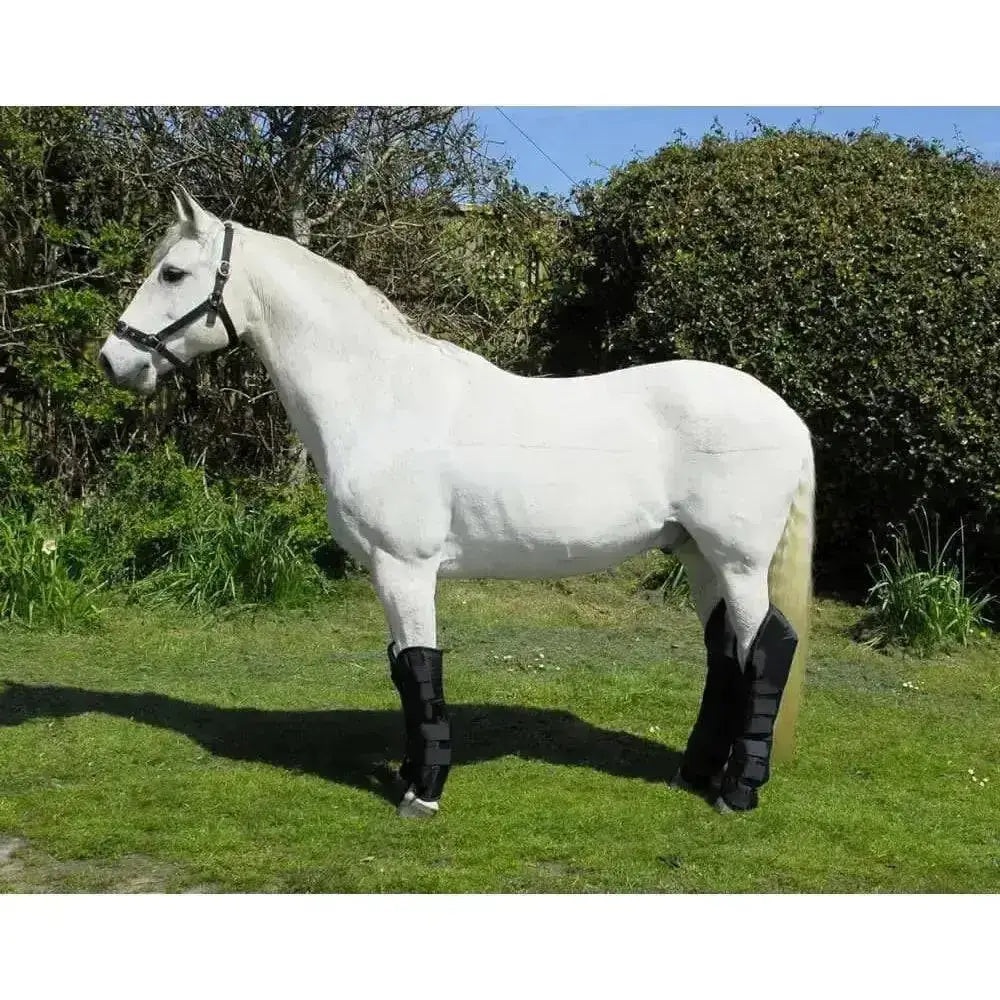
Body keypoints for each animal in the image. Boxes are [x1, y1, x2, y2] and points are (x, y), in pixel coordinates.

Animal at [98, 188, 814, 819]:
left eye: (172, 271)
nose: (113, 361)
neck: (380, 397)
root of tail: (785, 414)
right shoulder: (386, 572)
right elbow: (402, 671)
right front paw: (411, 773)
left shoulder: (406, 568)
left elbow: (422, 668)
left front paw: (423, 793)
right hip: (697, 557)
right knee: (725, 652)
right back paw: (694, 775)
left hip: (740, 561)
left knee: (767, 647)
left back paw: (736, 792)